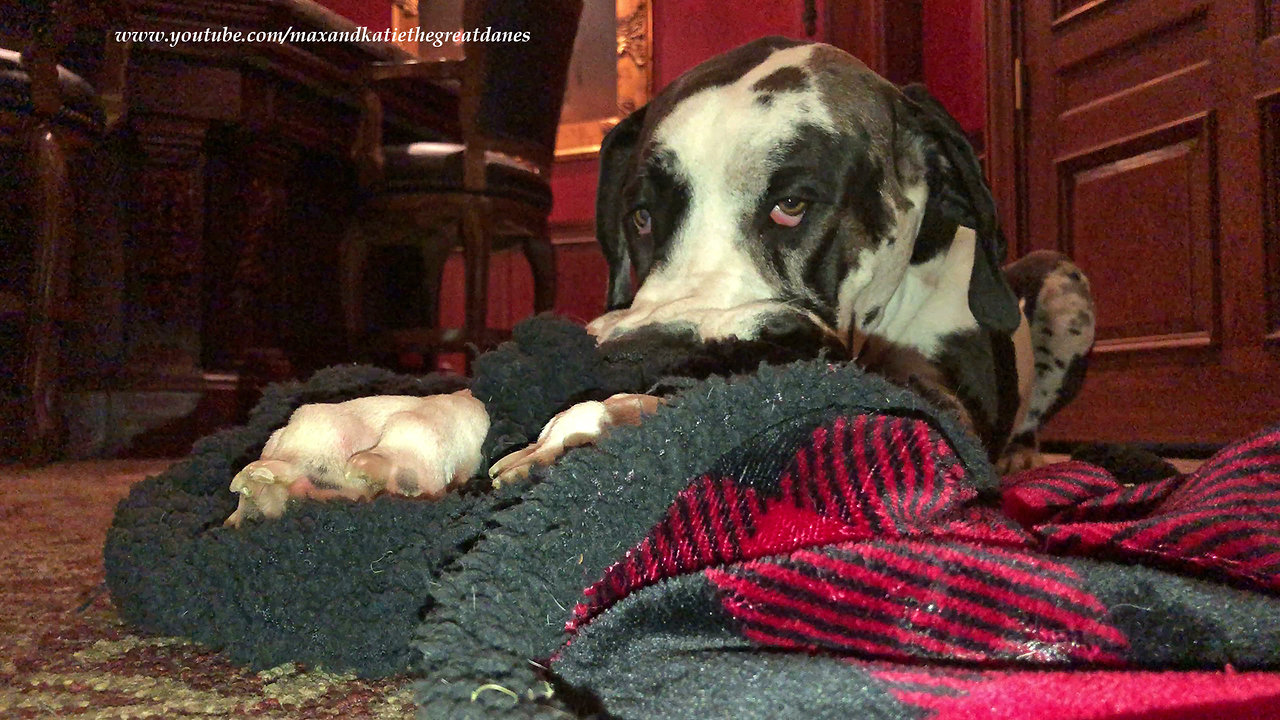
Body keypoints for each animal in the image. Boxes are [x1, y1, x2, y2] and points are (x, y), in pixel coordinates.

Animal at [220, 36, 1090, 525]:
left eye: (793, 205)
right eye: (640, 216)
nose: (641, 357)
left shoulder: (931, 395)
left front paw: (609, 421)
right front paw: (376, 426)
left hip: (1064, 283)